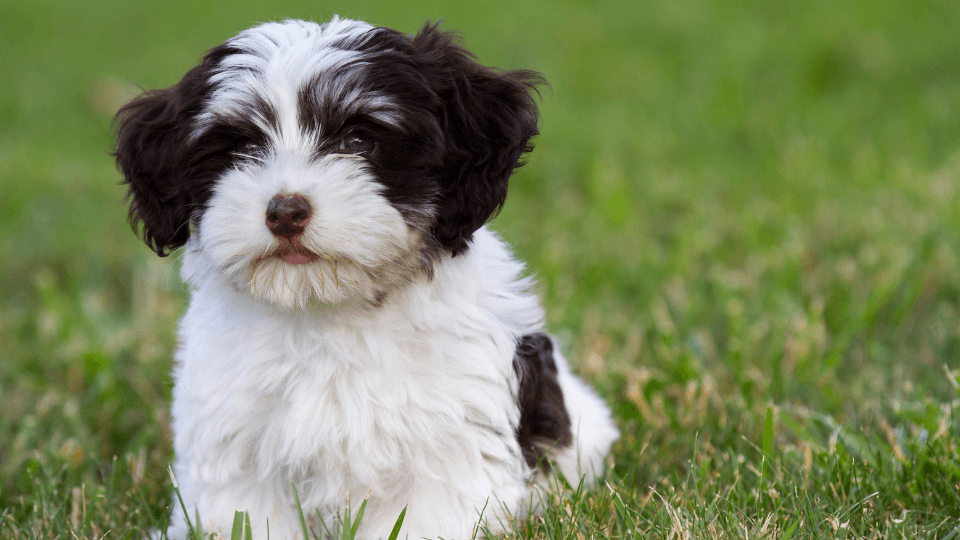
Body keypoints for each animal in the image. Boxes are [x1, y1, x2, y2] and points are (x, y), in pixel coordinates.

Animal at [114, 16, 624, 540]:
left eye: (357, 142)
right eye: (244, 147)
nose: (285, 211)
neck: (329, 312)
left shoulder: (449, 445)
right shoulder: (237, 442)